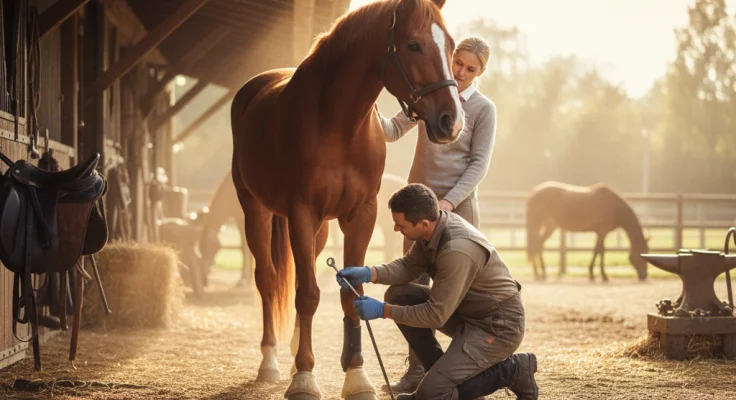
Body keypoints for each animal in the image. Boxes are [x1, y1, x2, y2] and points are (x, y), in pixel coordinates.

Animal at [230, 1, 463, 398]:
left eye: (449, 46)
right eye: (414, 45)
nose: (451, 121)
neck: (338, 124)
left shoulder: (360, 214)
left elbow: (350, 293)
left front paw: (356, 376)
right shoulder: (302, 212)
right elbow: (308, 295)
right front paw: (305, 378)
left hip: (319, 228)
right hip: (254, 209)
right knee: (268, 279)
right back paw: (271, 362)